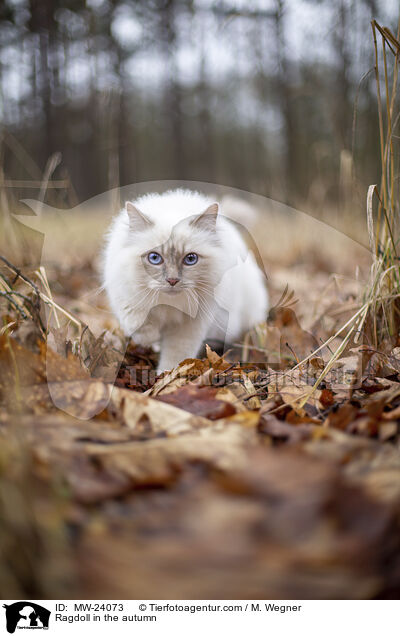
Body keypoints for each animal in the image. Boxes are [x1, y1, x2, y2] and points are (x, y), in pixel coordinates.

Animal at [102, 191, 268, 376]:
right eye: (154, 258)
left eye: (190, 259)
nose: (172, 280)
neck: (170, 304)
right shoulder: (126, 296)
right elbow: (138, 322)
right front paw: (151, 338)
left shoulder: (189, 325)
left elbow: (176, 356)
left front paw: (166, 376)